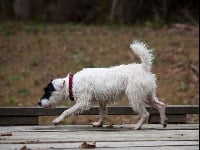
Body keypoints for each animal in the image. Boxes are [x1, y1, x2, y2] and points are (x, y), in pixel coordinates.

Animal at [37, 41, 167, 130]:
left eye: (47, 91)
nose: (38, 103)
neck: (72, 83)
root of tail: (143, 68)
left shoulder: (82, 102)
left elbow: (66, 111)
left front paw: (57, 120)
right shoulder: (102, 101)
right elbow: (103, 114)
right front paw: (99, 124)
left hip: (135, 97)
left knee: (145, 114)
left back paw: (137, 126)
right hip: (147, 96)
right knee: (161, 105)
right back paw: (163, 121)